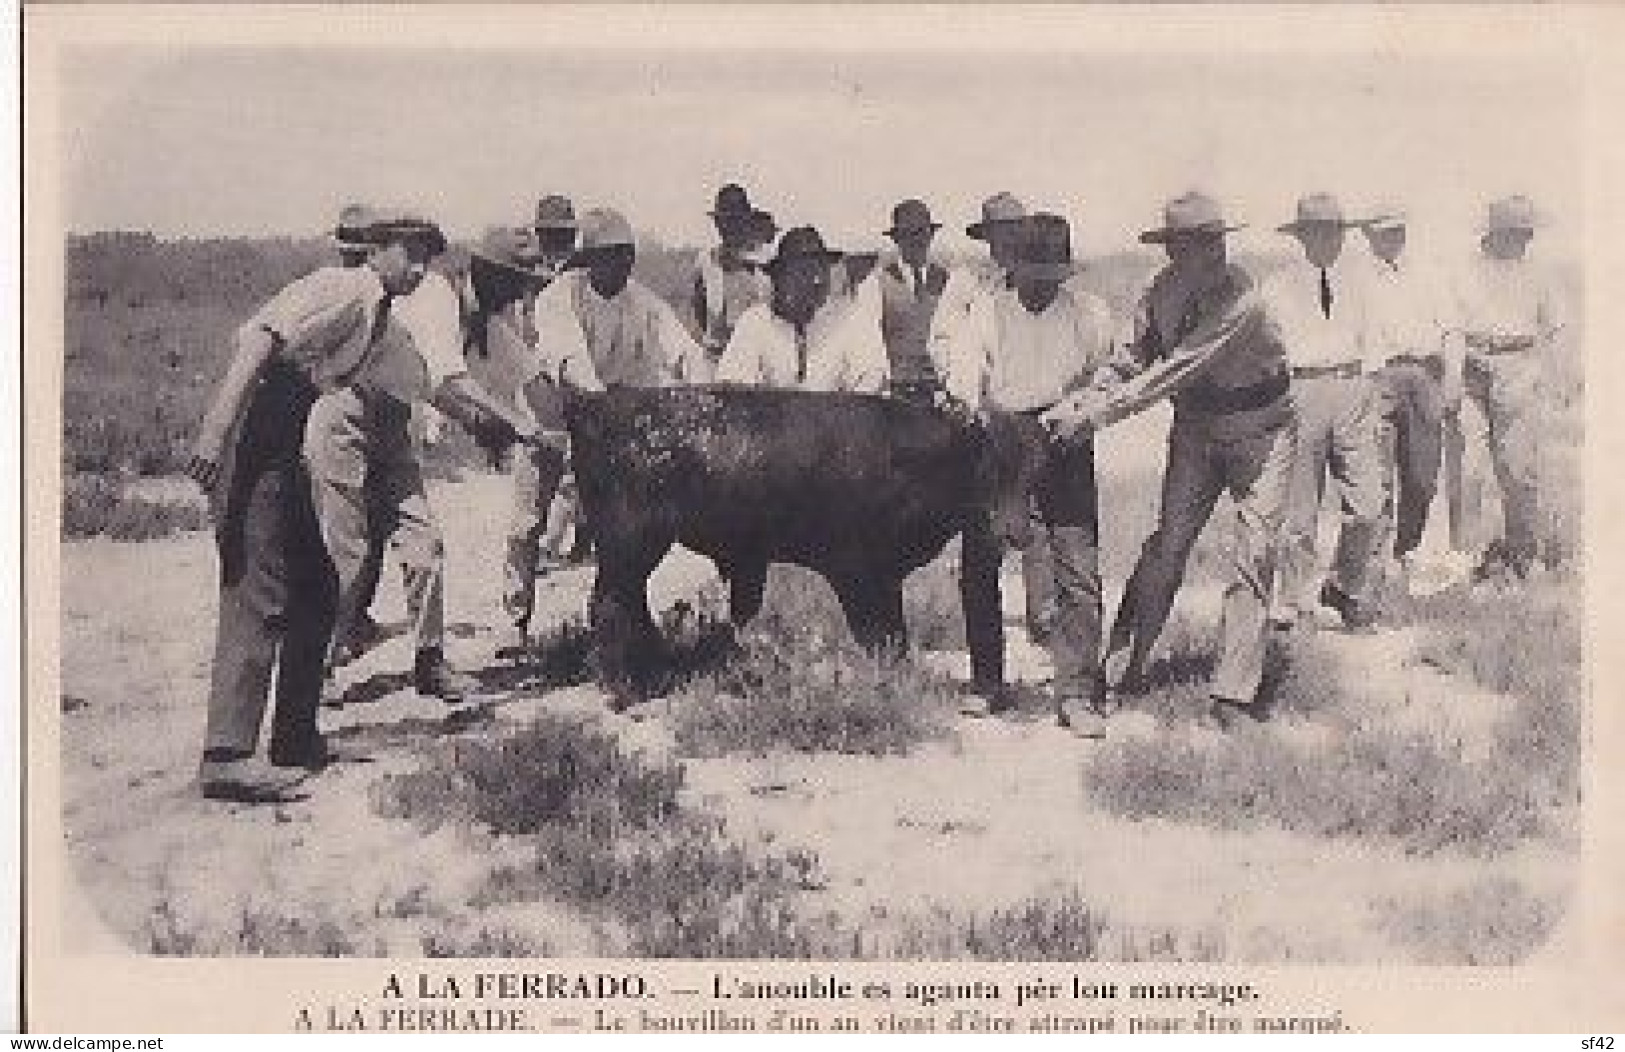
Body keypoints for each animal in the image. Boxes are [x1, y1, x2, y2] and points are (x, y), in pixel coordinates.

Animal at [565, 385, 1046, 699]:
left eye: (1035, 471)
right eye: (988, 468)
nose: (1016, 532)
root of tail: (600, 402)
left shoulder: (886, 575)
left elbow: (894, 635)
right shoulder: (856, 571)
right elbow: (879, 634)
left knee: (626, 605)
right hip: (631, 546)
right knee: (611, 604)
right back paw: (627, 688)